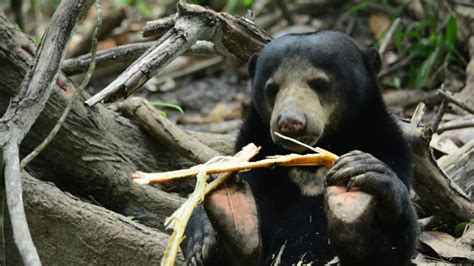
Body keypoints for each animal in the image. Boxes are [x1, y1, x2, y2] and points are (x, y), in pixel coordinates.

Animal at [183, 30, 416, 264]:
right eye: (271, 89)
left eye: (320, 84)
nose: (290, 122)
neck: (308, 161)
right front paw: (204, 237)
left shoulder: (387, 146)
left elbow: (390, 249)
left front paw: (362, 170)